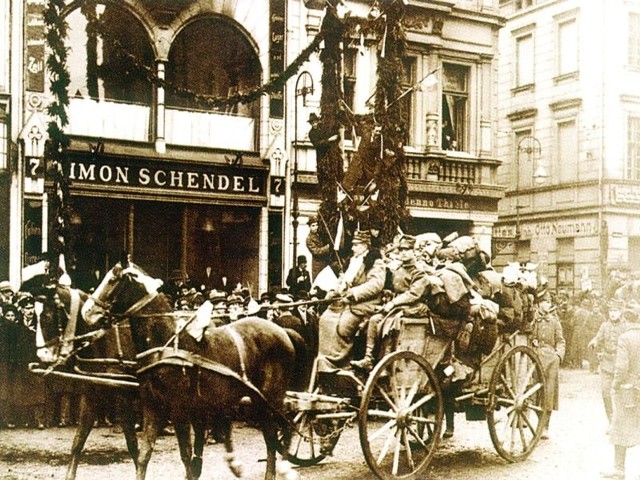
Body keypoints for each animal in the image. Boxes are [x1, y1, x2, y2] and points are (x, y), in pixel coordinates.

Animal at [33, 284, 141, 480]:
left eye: (47, 316)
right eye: (32, 318)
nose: (42, 356)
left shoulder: (123, 398)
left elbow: (132, 444)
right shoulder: (90, 395)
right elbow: (78, 441)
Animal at [80, 262, 304, 480]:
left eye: (112, 280)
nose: (86, 312)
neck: (164, 343)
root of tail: (284, 332)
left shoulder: (180, 409)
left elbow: (186, 456)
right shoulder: (153, 406)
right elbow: (144, 455)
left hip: (269, 399)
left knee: (277, 433)